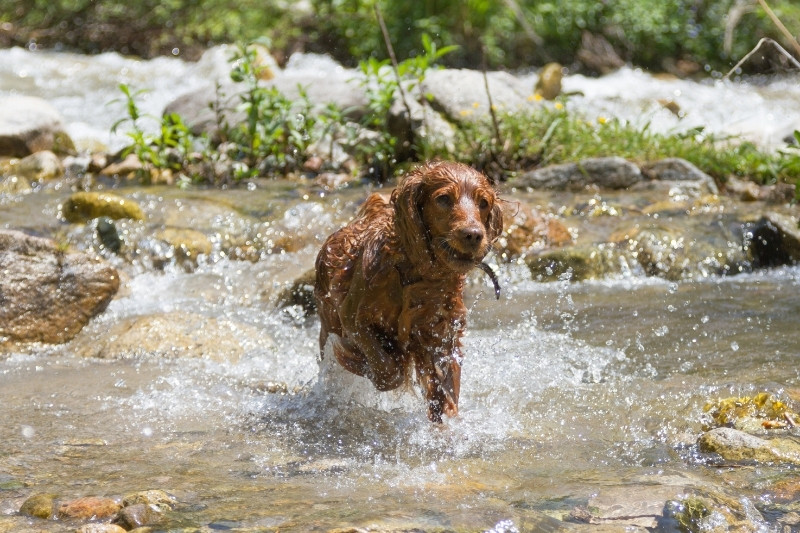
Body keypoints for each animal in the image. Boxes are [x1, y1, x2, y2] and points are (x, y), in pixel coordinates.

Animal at [316, 160, 504, 422]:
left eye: (484, 202)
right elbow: (387, 370)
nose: (473, 235)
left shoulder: (442, 334)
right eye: (443, 198)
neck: (416, 273)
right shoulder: (352, 318)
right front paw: (372, 363)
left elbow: (445, 394)